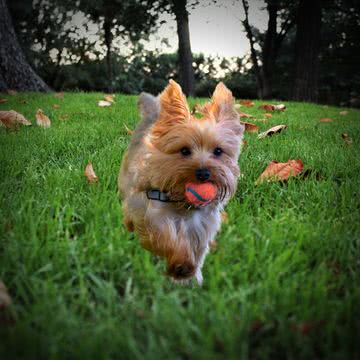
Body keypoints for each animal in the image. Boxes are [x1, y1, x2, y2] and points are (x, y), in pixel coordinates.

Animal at [118, 79, 245, 284]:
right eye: (184, 151)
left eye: (218, 151)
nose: (203, 173)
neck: (184, 205)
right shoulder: (153, 214)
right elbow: (165, 238)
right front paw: (181, 264)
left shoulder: (202, 228)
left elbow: (197, 252)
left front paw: (191, 278)